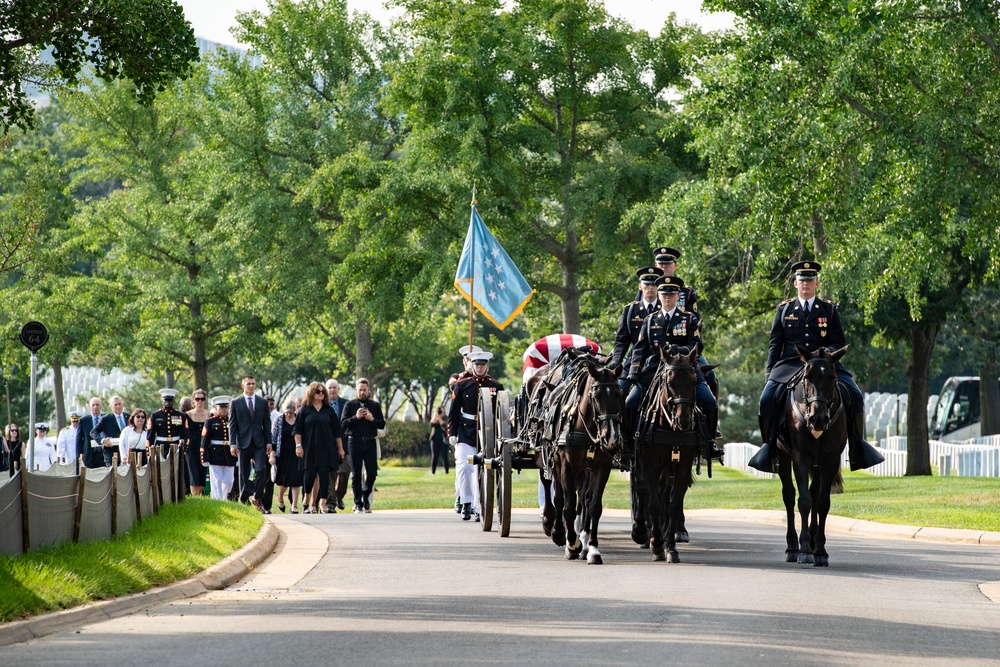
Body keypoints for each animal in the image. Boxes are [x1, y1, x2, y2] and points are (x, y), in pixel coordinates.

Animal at [776, 344, 848, 568]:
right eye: (807, 378)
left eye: (833, 378)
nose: (819, 419)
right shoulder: (800, 458)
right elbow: (804, 501)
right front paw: (805, 549)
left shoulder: (830, 460)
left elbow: (822, 502)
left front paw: (821, 551)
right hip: (783, 457)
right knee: (789, 496)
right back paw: (792, 547)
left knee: (815, 493)